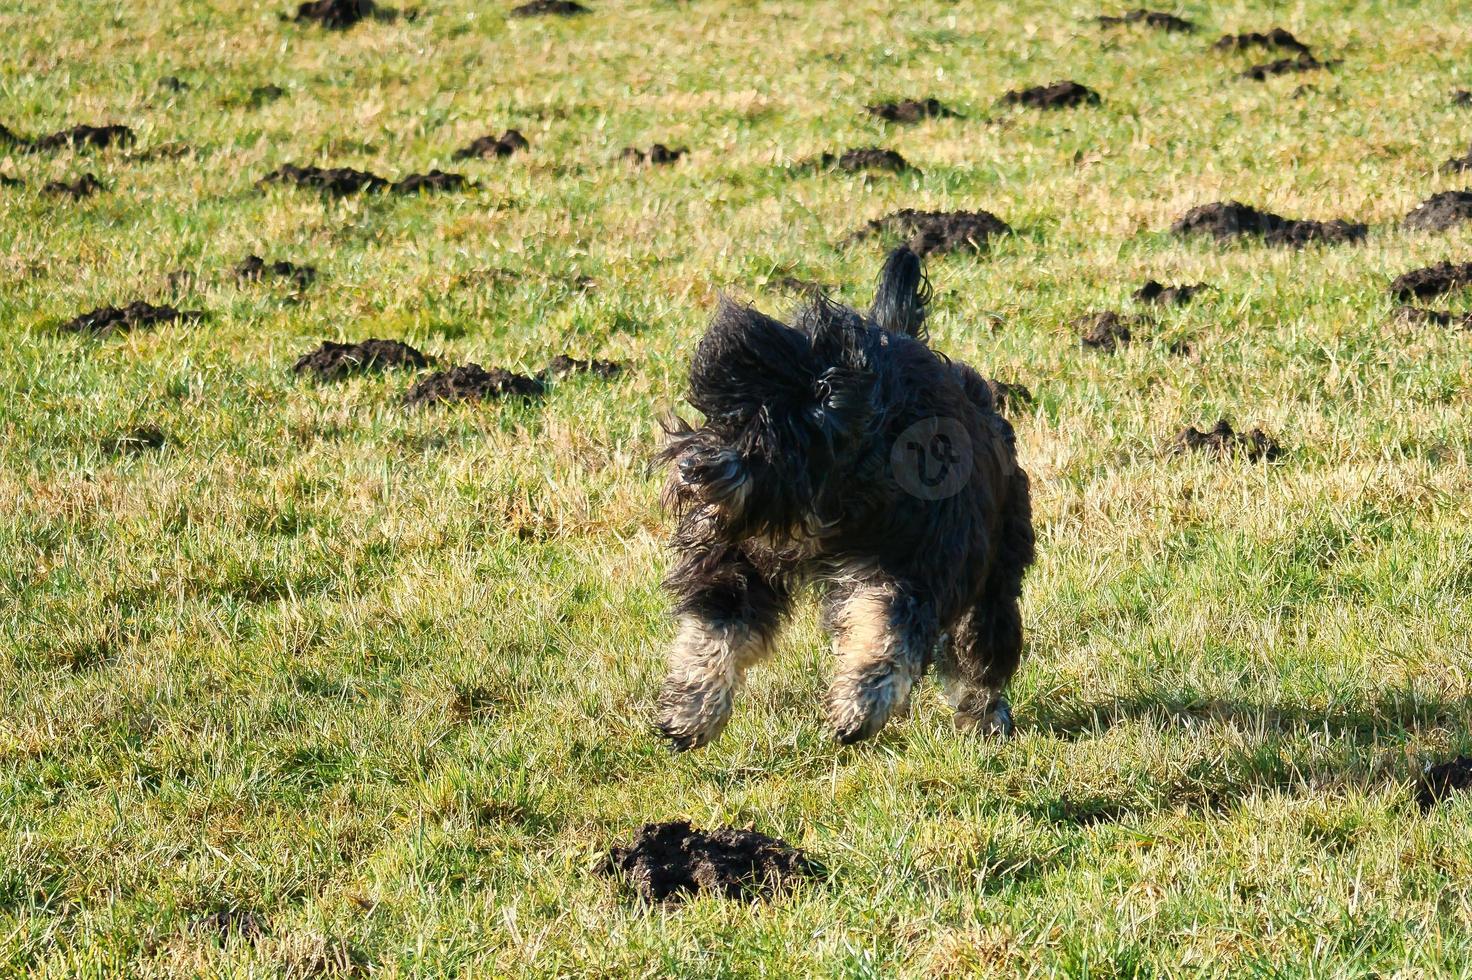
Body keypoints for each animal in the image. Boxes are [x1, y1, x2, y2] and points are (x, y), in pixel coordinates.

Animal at [656, 248, 1036, 744]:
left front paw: (859, 704)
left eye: (761, 425)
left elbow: (888, 625)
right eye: (715, 416)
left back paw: (983, 712)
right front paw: (691, 707)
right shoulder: (740, 554)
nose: (688, 470)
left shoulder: (915, 562)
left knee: (982, 640)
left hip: (996, 562)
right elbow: (715, 622)